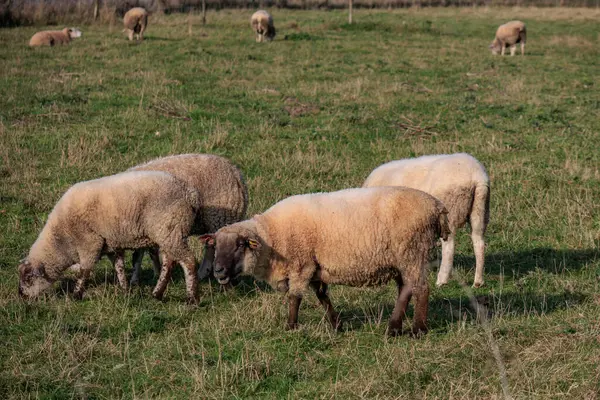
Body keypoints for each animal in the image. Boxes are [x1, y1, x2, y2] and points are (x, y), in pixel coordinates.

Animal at [17, 170, 202, 304]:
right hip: (170, 233)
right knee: (169, 263)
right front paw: (125, 290)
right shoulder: (110, 245)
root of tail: (189, 193)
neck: (61, 240)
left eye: (28, 278)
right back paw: (157, 293)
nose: (21, 296)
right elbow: (119, 267)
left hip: (170, 229)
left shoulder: (89, 243)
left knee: (189, 261)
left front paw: (76, 295)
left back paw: (191, 298)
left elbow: (85, 270)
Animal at [123, 153, 250, 288]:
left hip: (219, 218)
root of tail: (236, 174)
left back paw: (203, 275)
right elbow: (140, 254)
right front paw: (137, 279)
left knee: (213, 250)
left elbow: (144, 253)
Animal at [199, 186, 448, 336]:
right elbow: (322, 297)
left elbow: (295, 297)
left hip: (413, 251)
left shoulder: (301, 264)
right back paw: (394, 328)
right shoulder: (315, 267)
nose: (218, 271)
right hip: (404, 258)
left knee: (421, 288)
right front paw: (336, 325)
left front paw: (291, 326)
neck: (272, 236)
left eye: (240, 245)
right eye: (215, 246)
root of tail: (437, 206)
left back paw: (418, 330)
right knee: (406, 289)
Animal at [364, 152, 490, 288]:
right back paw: (478, 281)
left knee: (449, 246)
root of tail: (476, 175)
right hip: (480, 209)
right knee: (479, 242)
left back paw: (442, 280)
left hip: (450, 210)